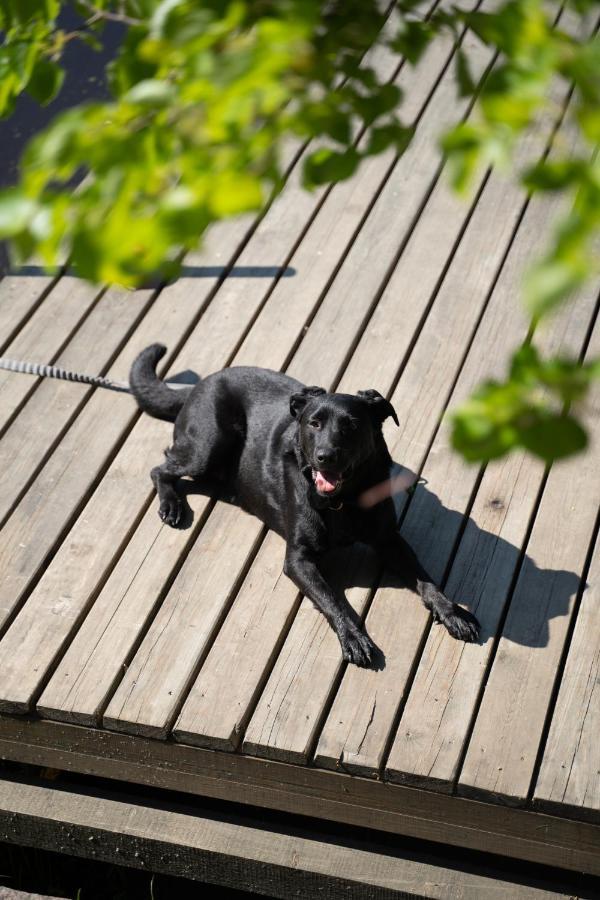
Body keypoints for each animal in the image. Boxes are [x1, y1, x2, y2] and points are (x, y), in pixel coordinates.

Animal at [130, 344, 478, 668]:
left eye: (351, 425)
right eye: (314, 424)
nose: (325, 456)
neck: (343, 502)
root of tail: (200, 385)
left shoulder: (390, 539)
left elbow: (426, 580)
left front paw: (452, 612)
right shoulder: (298, 559)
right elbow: (332, 599)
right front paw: (353, 637)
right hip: (208, 444)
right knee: (160, 468)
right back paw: (172, 505)